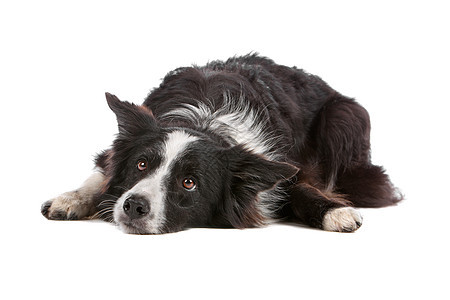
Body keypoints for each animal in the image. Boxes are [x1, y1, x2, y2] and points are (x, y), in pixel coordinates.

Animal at [40, 54, 402, 233]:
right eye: (141, 164)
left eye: (189, 183)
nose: (133, 206)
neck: (203, 122)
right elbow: (99, 176)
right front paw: (72, 199)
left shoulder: (282, 169)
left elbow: (302, 189)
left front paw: (336, 212)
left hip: (343, 119)